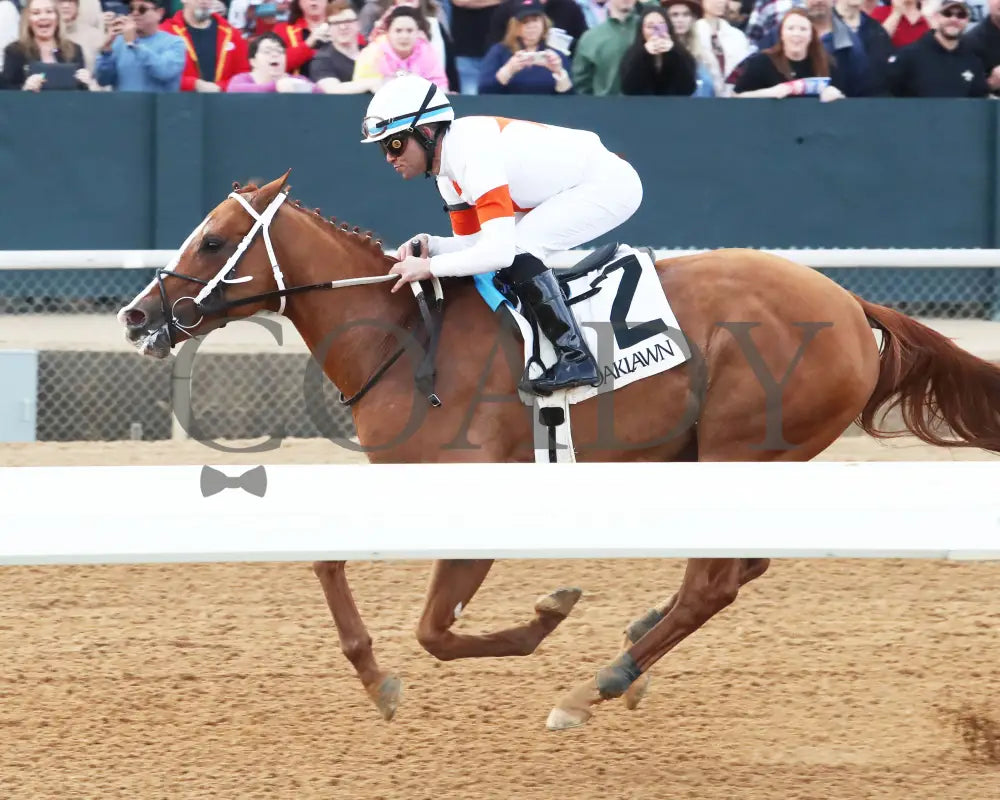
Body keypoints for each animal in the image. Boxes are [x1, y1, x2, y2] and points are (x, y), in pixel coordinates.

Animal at [117, 170, 1000, 732]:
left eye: (213, 242)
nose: (135, 316)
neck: (403, 340)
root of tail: (851, 303)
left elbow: (437, 631)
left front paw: (550, 614)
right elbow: (331, 564)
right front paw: (376, 680)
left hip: (740, 447)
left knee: (714, 582)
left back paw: (596, 685)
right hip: (735, 463)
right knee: (738, 568)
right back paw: (636, 646)